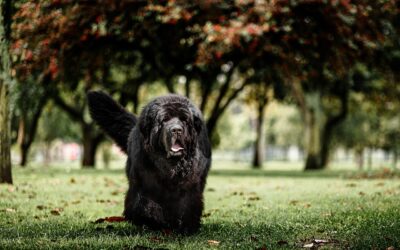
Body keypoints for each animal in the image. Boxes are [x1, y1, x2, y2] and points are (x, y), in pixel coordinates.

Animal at [87, 92, 212, 234]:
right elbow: (146, 204)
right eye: (164, 120)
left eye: (184, 120)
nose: (176, 130)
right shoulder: (145, 182)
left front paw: (186, 227)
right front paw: (153, 221)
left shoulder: (191, 184)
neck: (171, 166)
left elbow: (188, 204)